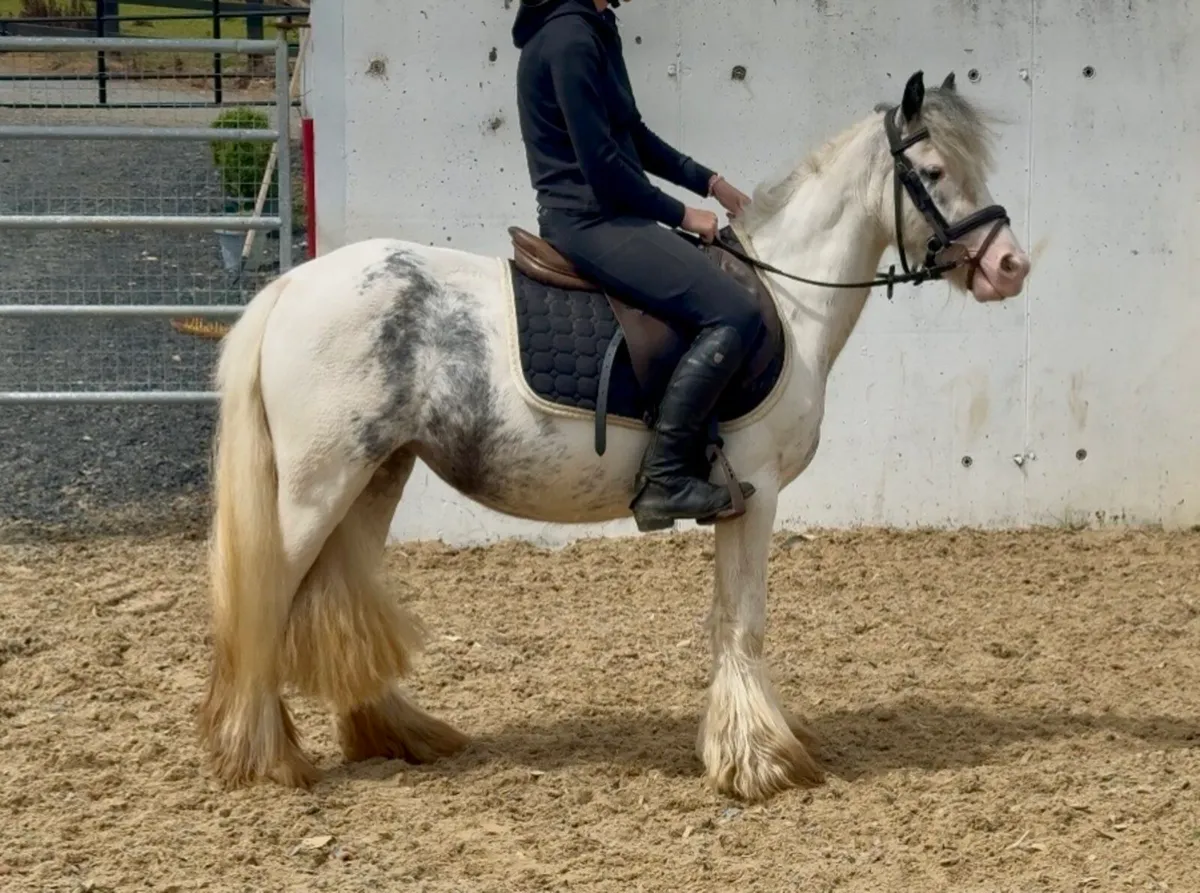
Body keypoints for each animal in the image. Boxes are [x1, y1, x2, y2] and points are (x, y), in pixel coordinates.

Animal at [196, 70, 1031, 804]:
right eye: (932, 170)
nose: (1011, 266)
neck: (790, 299)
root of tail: (291, 288)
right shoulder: (755, 492)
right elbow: (744, 620)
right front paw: (760, 760)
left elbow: (729, 619)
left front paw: (745, 747)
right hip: (318, 485)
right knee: (265, 599)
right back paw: (262, 755)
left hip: (375, 474)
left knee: (330, 598)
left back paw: (391, 732)